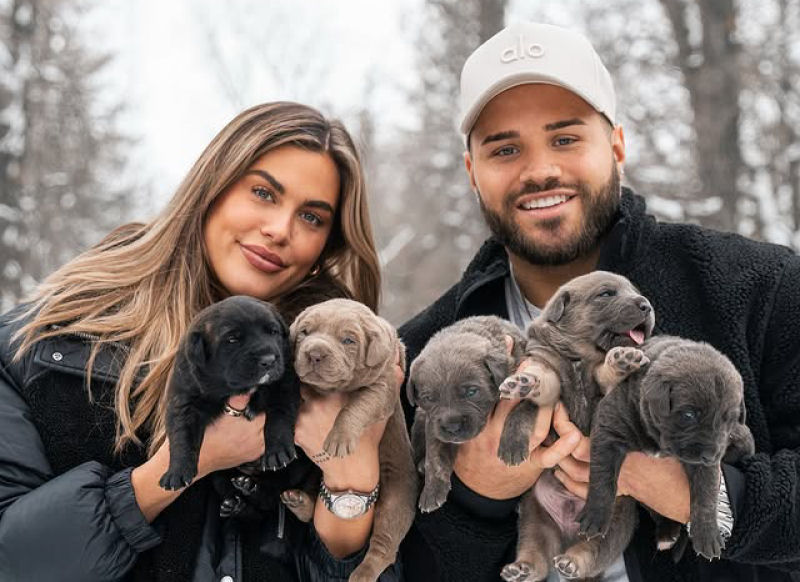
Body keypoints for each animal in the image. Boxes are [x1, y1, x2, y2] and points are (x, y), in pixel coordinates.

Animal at [159, 296, 300, 492]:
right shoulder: (185, 401)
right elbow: (182, 435)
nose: (269, 360)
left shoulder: (284, 383)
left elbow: (279, 416)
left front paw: (277, 452)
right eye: (232, 339)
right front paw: (177, 472)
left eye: (273, 331)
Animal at [282, 302, 418, 582]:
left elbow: (357, 406)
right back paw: (299, 503)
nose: (314, 354)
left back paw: (362, 574)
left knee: (384, 546)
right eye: (304, 332)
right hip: (315, 473)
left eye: (348, 340)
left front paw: (339, 437)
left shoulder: (383, 385)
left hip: (397, 499)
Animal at [406, 318, 532, 512]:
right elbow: (434, 456)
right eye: (429, 398)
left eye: (472, 392)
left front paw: (513, 445)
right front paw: (432, 491)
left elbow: (522, 408)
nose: (452, 427)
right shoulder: (432, 422)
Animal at [500, 274, 656, 582]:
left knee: (590, 552)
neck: (578, 358)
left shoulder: (601, 388)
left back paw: (571, 561)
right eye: (606, 294)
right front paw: (523, 383)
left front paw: (623, 359)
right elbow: (539, 382)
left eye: (636, 291)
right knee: (536, 554)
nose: (646, 305)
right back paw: (521, 569)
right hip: (535, 517)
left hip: (613, 525)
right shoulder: (546, 364)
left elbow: (606, 373)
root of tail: (568, 532)